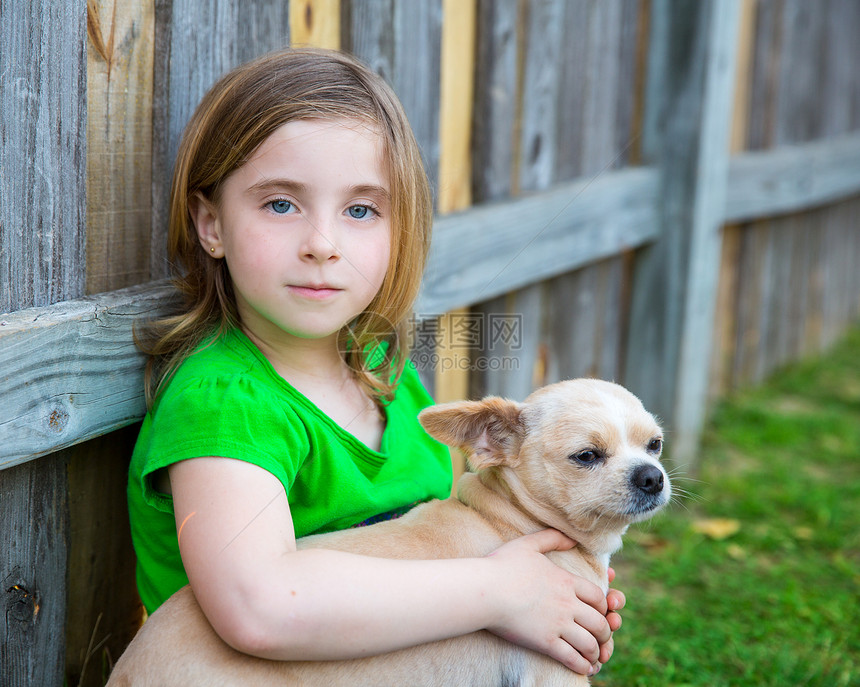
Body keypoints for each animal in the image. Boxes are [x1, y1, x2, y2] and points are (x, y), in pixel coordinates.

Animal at [107, 378, 672, 684]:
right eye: (587, 456)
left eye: (656, 445)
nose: (653, 477)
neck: (510, 516)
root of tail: (128, 670)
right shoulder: (556, 668)